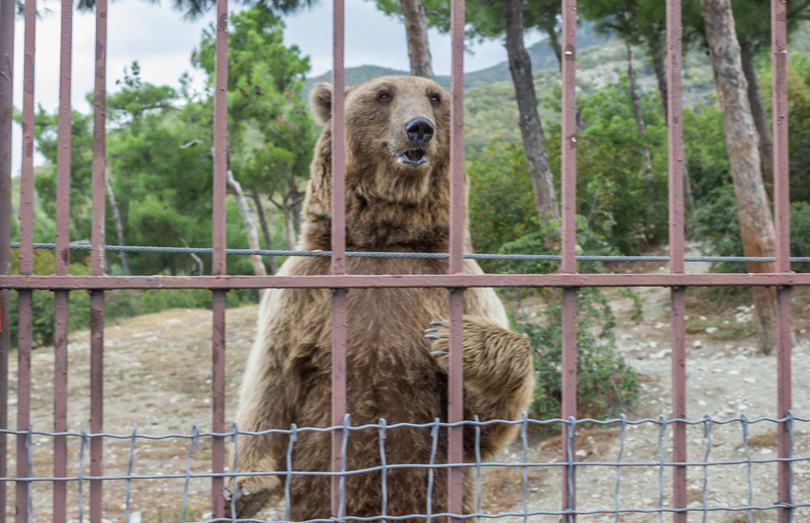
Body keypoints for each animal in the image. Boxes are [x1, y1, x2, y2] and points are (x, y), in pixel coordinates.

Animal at [224, 75, 532, 520]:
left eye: (435, 98)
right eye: (383, 94)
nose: (419, 128)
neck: (386, 241)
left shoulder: (458, 283)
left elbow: (482, 424)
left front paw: (453, 338)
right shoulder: (303, 289)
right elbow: (271, 376)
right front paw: (247, 487)